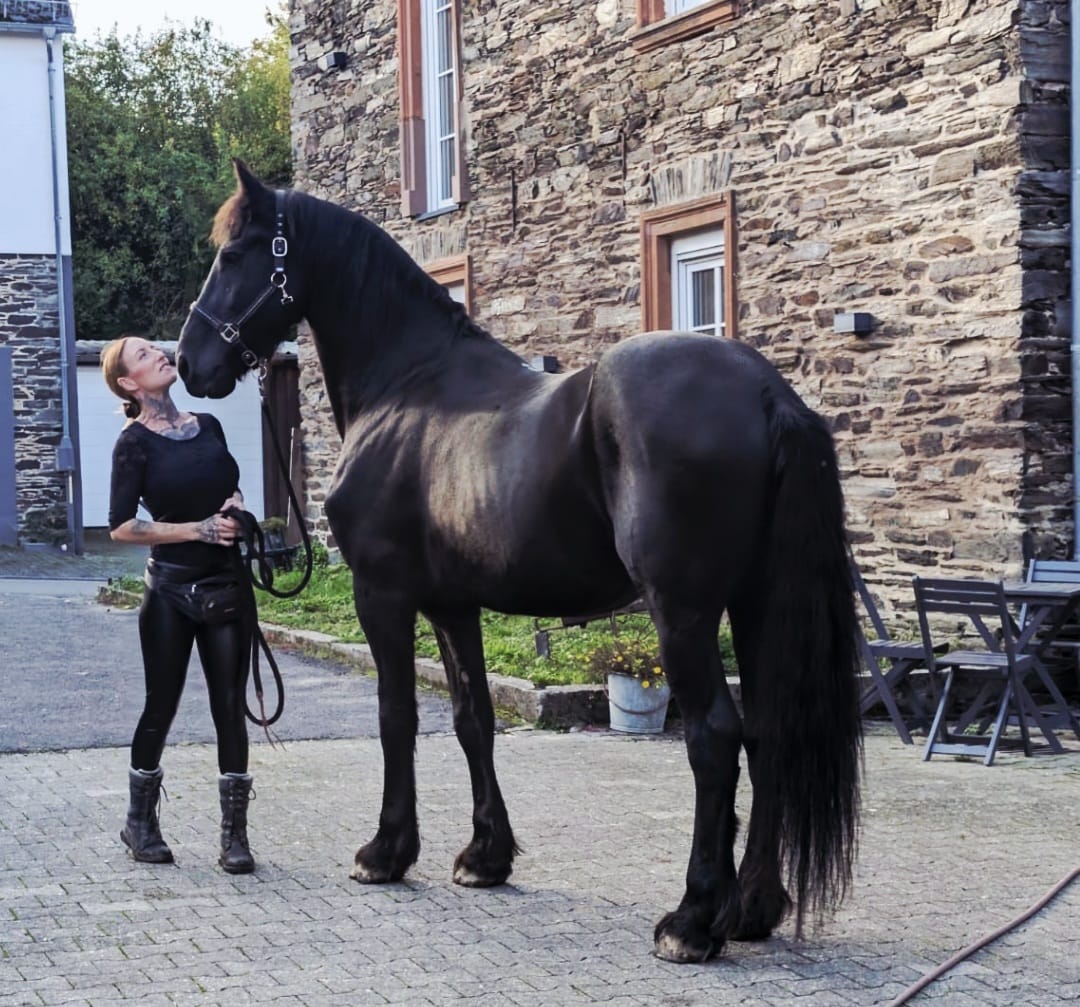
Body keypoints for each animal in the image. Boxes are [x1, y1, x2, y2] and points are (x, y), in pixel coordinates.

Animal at [177, 160, 862, 964]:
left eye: (233, 255)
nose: (189, 361)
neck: (406, 384)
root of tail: (765, 393)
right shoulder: (452, 602)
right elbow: (472, 718)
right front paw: (486, 856)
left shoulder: (383, 593)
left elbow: (396, 715)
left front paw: (386, 851)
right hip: (754, 604)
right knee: (769, 732)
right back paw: (750, 907)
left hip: (684, 612)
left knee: (715, 738)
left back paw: (693, 919)